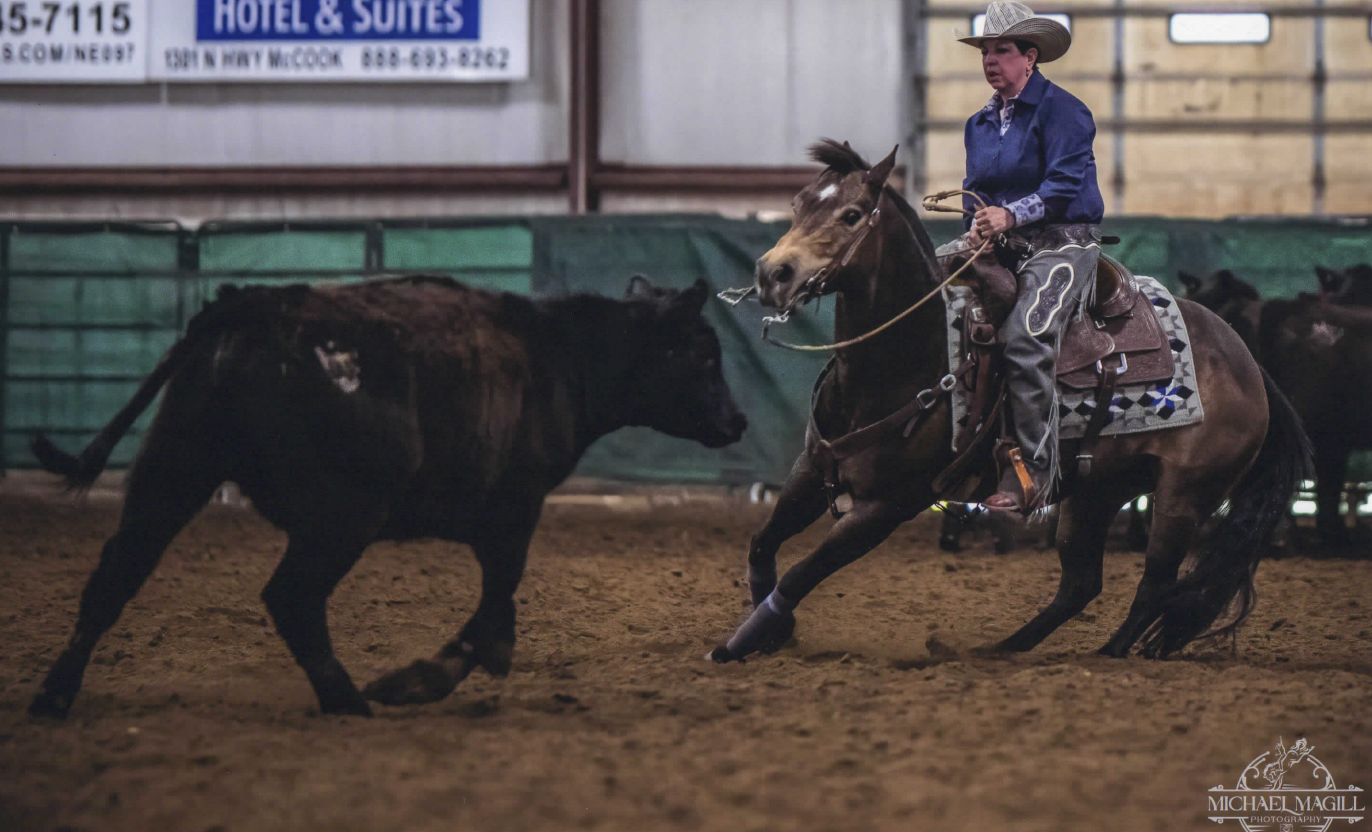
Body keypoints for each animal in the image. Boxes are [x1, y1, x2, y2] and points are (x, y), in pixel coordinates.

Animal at [24, 277, 751, 719]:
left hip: (174, 472)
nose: (739, 421)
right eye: (704, 357)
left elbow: (500, 606)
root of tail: (251, 306)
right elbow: (497, 602)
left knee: (115, 577)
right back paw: (347, 697)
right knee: (291, 598)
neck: (558, 356)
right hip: (341, 517)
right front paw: (427, 677)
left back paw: (55, 695)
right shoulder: (514, 509)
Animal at [707, 143, 1306, 664]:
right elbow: (762, 545)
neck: (910, 355)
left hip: (1183, 496)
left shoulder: (887, 506)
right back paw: (999, 649)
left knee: (1155, 583)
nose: (773, 273)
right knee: (1081, 584)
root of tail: (1248, 363)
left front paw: (742, 642)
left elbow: (802, 572)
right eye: (799, 203)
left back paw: (1109, 654)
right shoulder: (813, 469)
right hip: (1095, 491)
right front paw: (769, 629)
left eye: (852, 214)